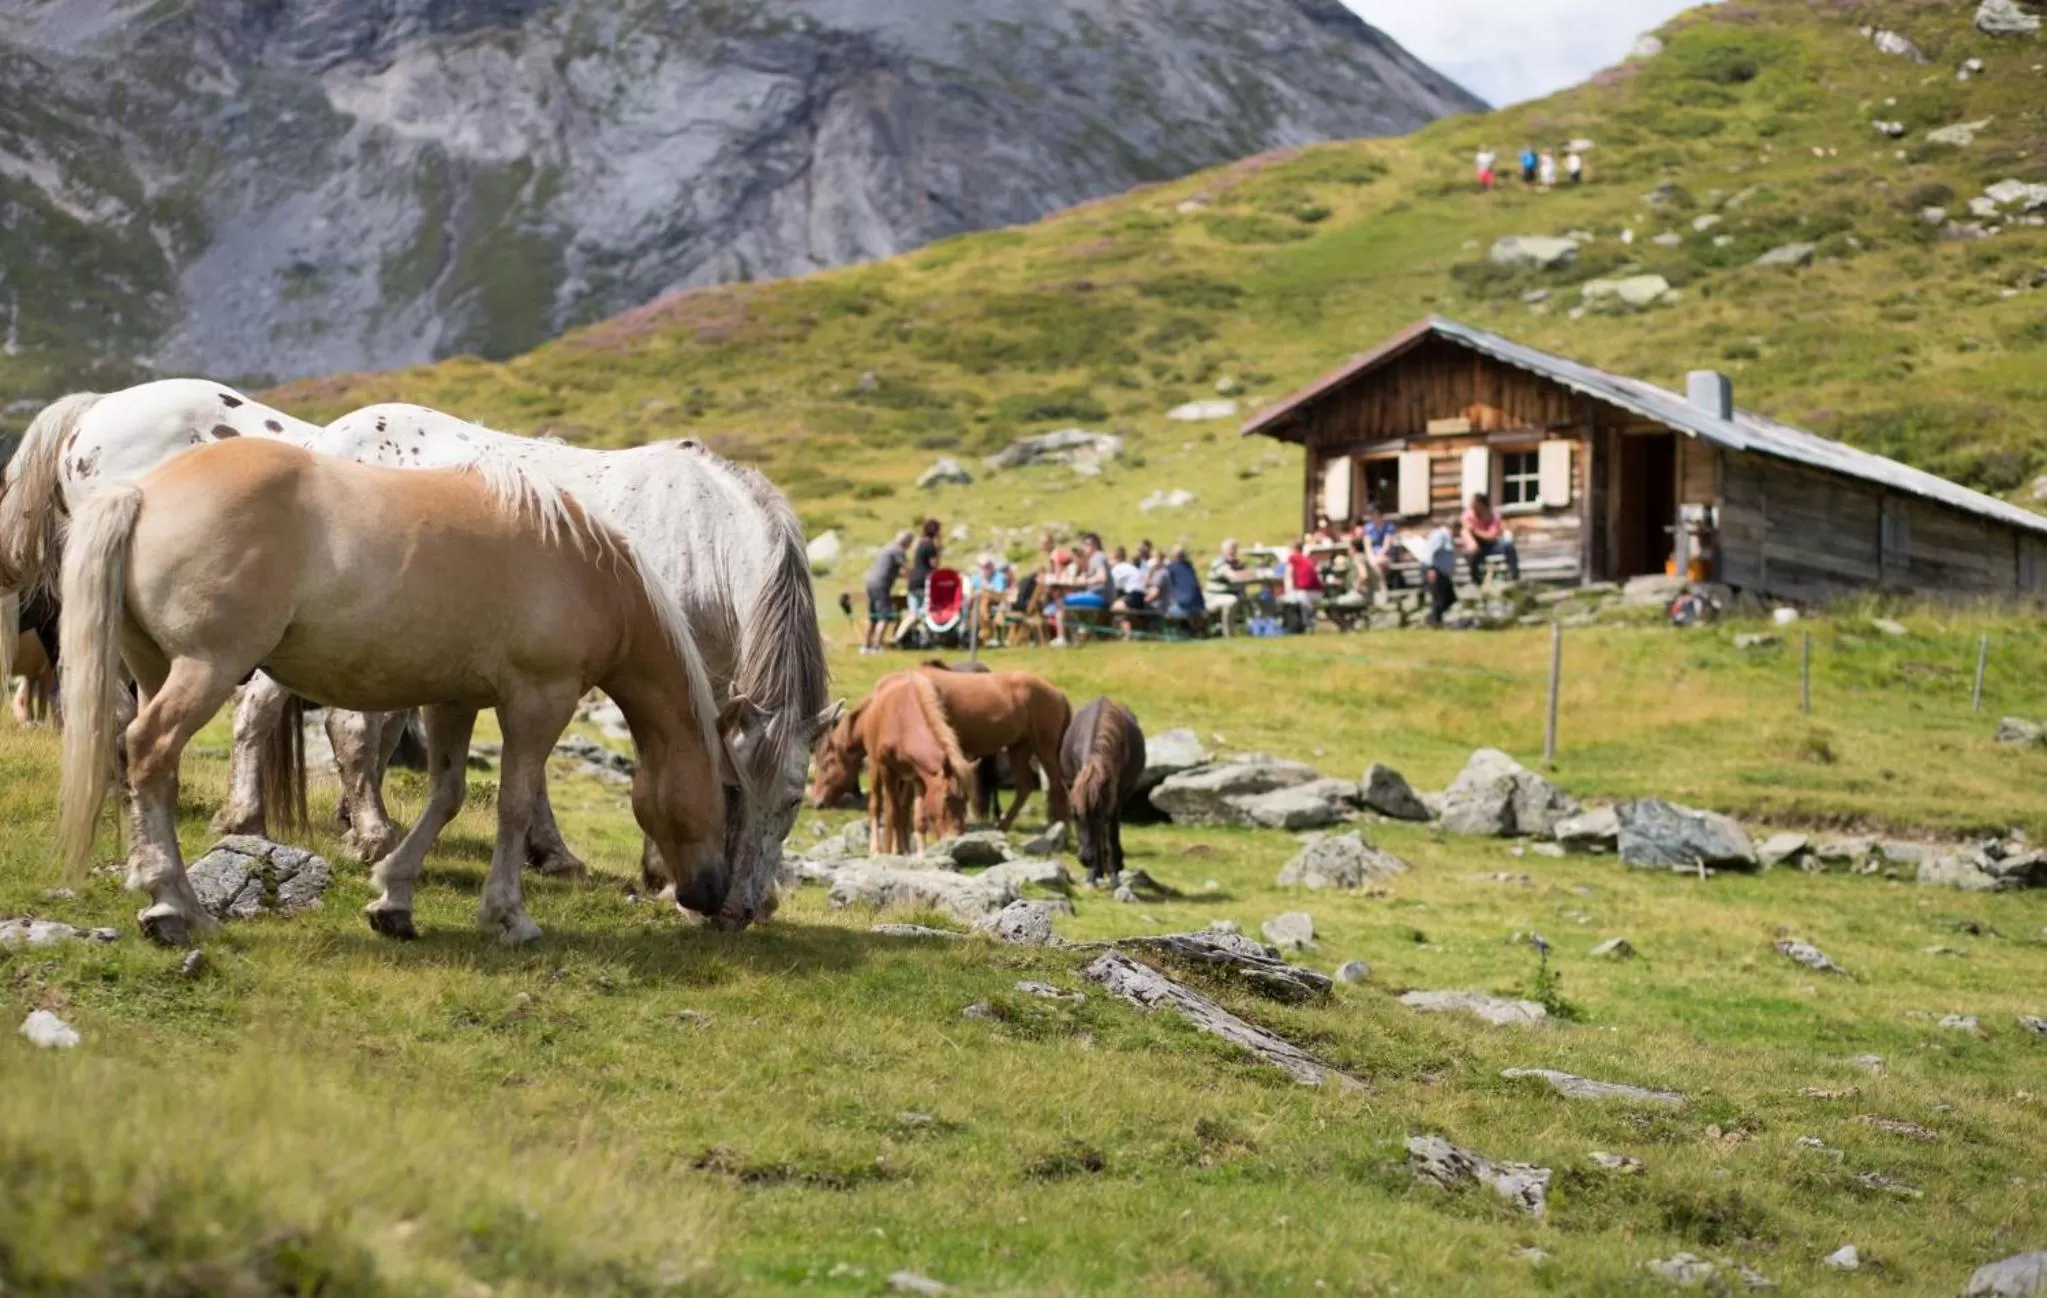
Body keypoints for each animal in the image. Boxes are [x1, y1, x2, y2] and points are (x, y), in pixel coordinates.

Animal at [860, 673, 970, 855]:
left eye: (966, 800)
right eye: (946, 798)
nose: (956, 838)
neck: (903, 722)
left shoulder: (919, 777)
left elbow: (918, 819)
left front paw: (919, 854)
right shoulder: (887, 769)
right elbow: (891, 812)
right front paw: (887, 852)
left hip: (904, 779)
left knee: (903, 809)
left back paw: (900, 848)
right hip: (875, 766)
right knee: (876, 805)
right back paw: (876, 850)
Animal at [1060, 697, 1145, 887]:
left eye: (1099, 815)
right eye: (1074, 814)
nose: (1085, 859)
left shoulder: (1114, 800)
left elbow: (1111, 833)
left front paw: (1113, 874)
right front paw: (1094, 873)